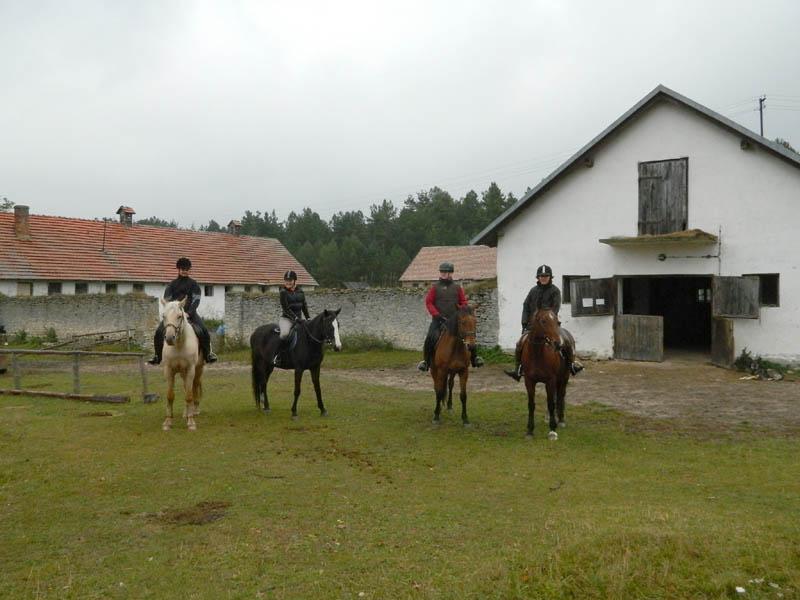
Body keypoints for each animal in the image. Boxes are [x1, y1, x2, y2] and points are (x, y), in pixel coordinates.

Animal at [159, 298, 203, 432]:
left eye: (179, 316)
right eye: (164, 316)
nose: (169, 338)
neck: (179, 345)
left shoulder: (190, 370)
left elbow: (189, 396)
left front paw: (191, 423)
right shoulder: (168, 370)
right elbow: (170, 395)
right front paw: (167, 422)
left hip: (198, 370)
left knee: (194, 387)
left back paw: (194, 411)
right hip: (183, 374)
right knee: (186, 388)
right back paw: (186, 413)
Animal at [520, 310, 576, 440]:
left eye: (557, 321)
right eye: (543, 321)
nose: (558, 343)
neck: (537, 354)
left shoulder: (550, 381)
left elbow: (551, 404)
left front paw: (552, 430)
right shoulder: (529, 382)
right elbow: (531, 404)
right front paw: (530, 430)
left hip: (564, 377)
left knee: (560, 396)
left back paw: (560, 420)